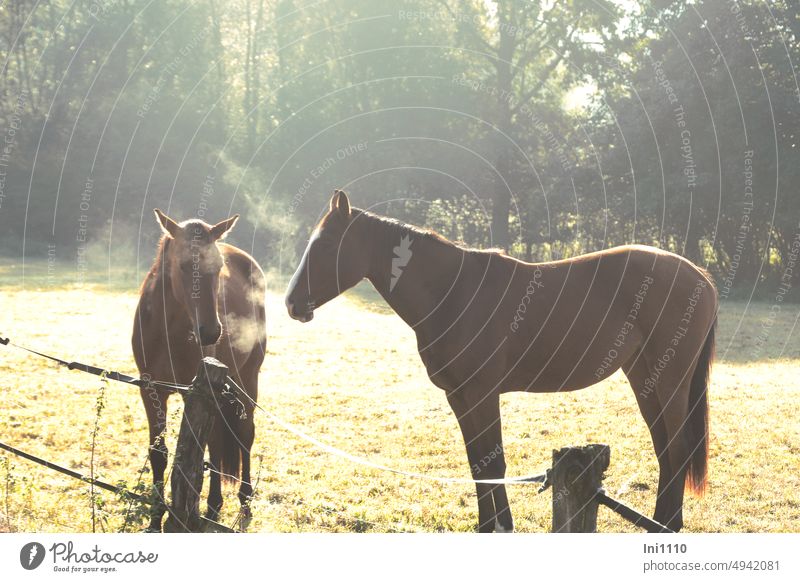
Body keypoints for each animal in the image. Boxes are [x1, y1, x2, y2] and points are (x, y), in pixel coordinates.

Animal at [132, 210, 266, 532]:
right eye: (183, 265)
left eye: (218, 268)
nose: (211, 332)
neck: (167, 330)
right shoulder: (152, 390)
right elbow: (159, 454)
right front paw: (155, 518)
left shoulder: (197, 392)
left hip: (247, 379)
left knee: (242, 435)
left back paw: (240, 500)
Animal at [284, 192, 716, 532]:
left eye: (326, 244)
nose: (291, 304)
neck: (454, 291)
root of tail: (699, 277)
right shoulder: (459, 397)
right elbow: (478, 463)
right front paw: (485, 525)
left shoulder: (482, 394)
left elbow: (495, 463)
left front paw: (503, 525)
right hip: (645, 378)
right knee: (665, 449)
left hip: (669, 381)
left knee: (677, 448)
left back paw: (664, 524)